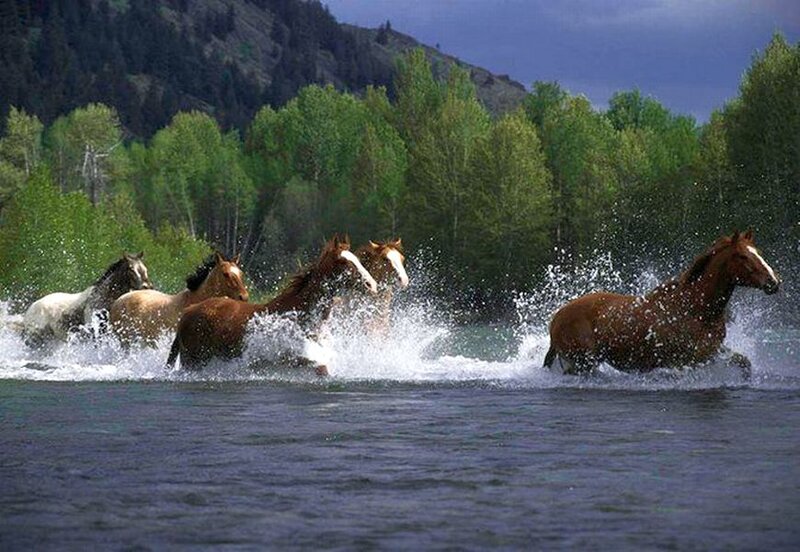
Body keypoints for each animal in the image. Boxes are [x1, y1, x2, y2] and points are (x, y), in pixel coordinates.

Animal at [22, 252, 151, 347]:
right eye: (131, 269)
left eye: (144, 268)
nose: (148, 287)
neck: (102, 299)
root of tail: (30, 311)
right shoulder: (95, 334)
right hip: (36, 339)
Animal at [166, 235, 379, 372]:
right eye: (343, 262)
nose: (372, 285)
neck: (299, 314)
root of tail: (188, 311)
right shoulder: (296, 359)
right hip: (193, 362)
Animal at [544, 230, 780, 376]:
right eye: (742, 256)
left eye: (758, 252)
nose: (773, 282)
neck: (695, 308)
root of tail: (556, 317)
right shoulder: (684, 361)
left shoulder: (711, 352)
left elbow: (744, 362)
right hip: (582, 361)